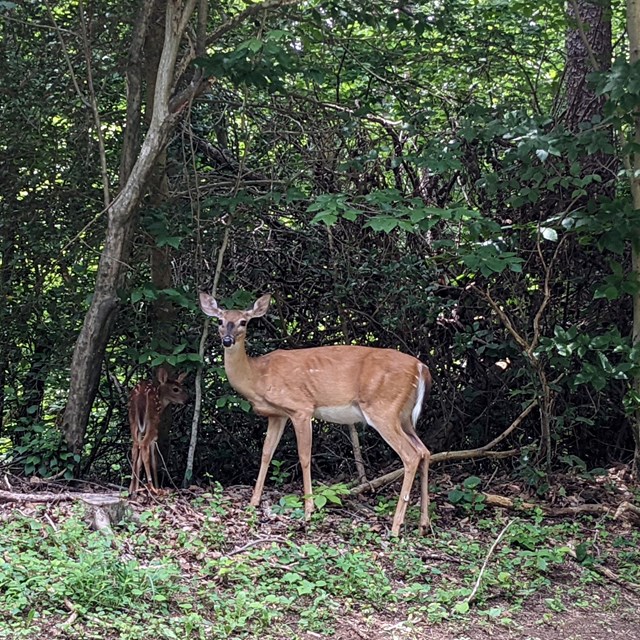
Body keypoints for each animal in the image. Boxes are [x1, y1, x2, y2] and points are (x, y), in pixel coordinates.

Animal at [199, 292, 432, 536]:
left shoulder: (301, 407)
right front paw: (253, 503)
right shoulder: (277, 415)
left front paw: (309, 510)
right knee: (424, 451)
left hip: (383, 409)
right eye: (220, 321)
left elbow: (304, 456)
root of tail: (421, 368)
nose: (227, 340)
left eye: (244, 322)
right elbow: (266, 454)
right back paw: (423, 523)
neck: (258, 376)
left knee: (410, 455)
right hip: (403, 415)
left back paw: (396, 527)